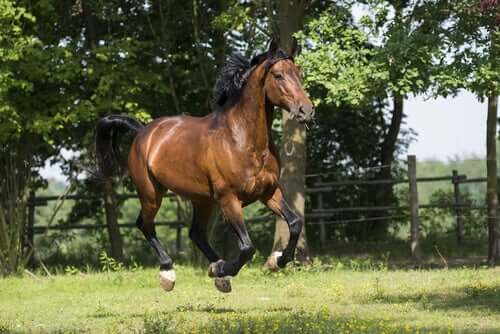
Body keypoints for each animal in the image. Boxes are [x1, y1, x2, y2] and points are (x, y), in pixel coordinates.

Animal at [94, 38, 312, 292]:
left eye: (299, 73)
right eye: (278, 75)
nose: (306, 110)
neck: (242, 140)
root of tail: (143, 132)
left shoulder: (268, 192)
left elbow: (295, 222)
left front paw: (278, 260)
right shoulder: (229, 199)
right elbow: (247, 247)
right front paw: (226, 268)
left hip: (202, 200)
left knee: (195, 233)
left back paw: (218, 273)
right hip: (151, 193)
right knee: (145, 224)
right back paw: (170, 273)